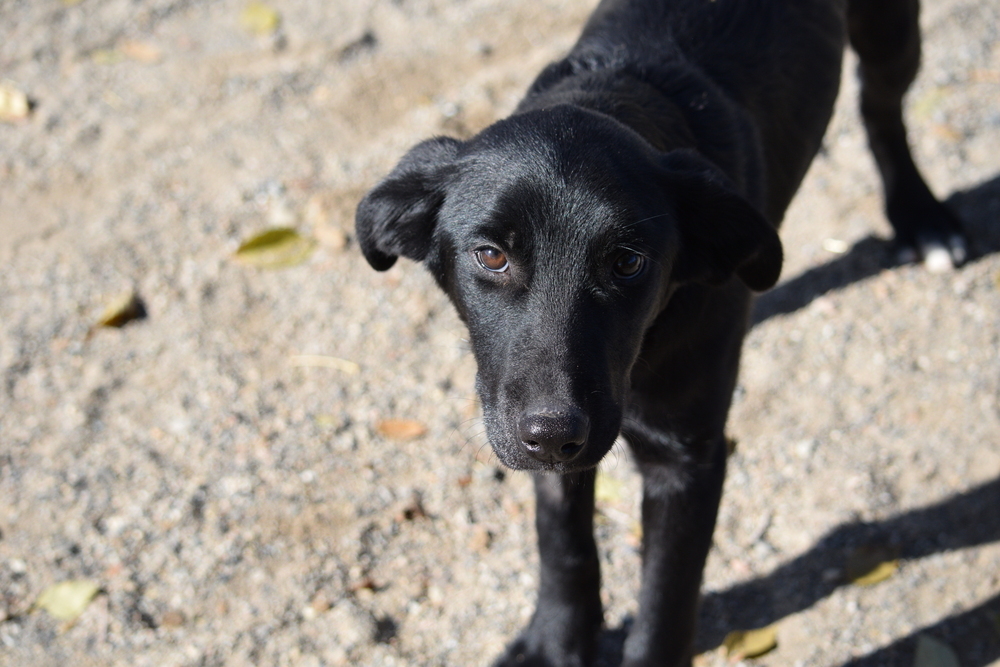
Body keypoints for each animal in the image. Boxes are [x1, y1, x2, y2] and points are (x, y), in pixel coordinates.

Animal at [356, 2, 964, 664]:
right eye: (491, 255)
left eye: (627, 262)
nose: (553, 434)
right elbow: (562, 541)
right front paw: (556, 642)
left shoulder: (687, 460)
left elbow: (665, 600)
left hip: (889, 36)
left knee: (881, 106)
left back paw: (920, 214)